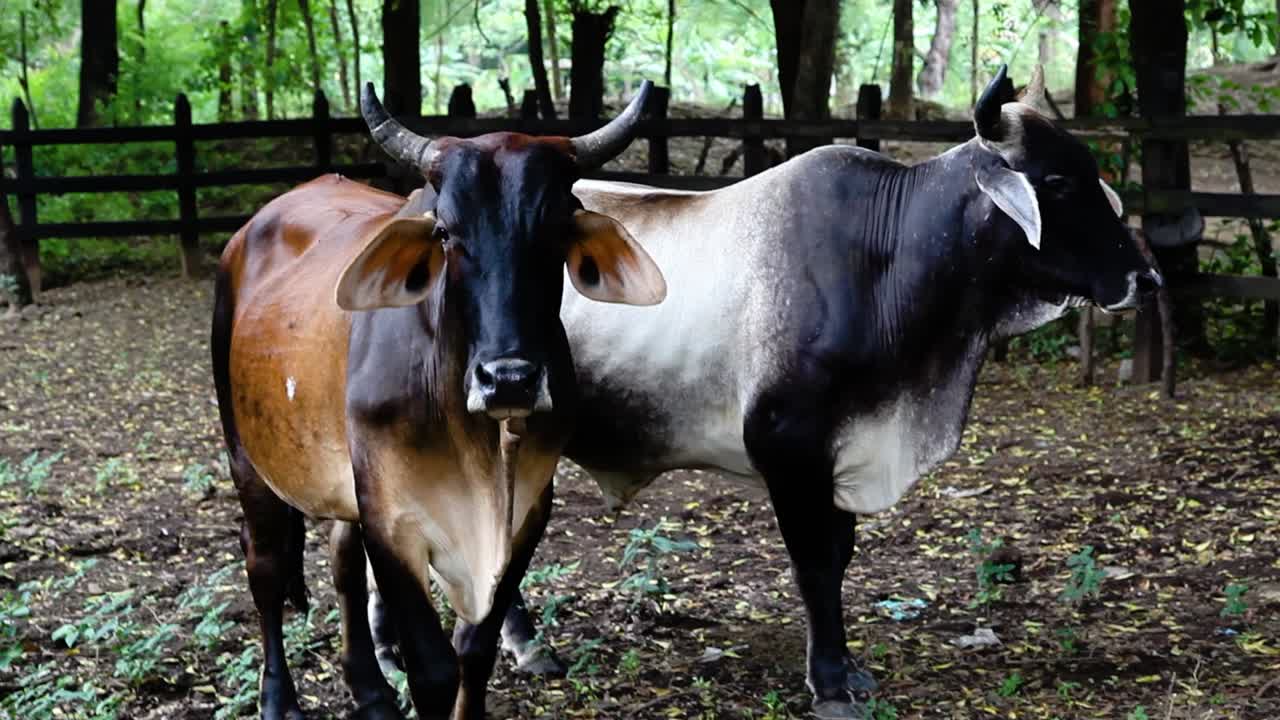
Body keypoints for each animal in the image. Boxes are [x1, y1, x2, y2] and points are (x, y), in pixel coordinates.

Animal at [210, 81, 666, 720]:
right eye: (446, 232)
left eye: (556, 229)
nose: (509, 379)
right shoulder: (391, 517)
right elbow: (432, 668)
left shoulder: (527, 510)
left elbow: (475, 648)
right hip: (245, 453)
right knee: (267, 565)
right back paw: (279, 698)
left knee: (342, 564)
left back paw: (371, 690)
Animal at [386, 64, 1158, 719]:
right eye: (1058, 181)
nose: (1146, 279)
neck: (889, 261)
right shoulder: (789, 448)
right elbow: (815, 565)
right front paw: (831, 683)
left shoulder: (843, 452)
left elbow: (839, 556)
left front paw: (847, 671)